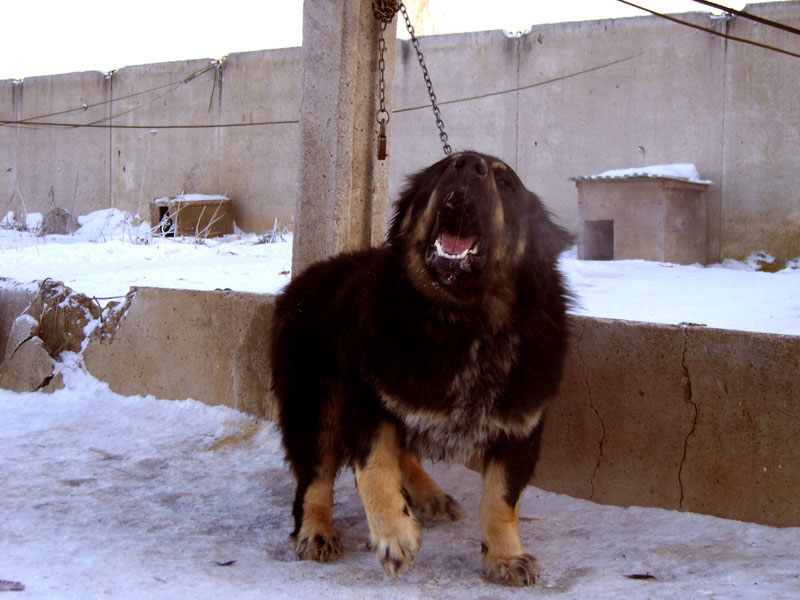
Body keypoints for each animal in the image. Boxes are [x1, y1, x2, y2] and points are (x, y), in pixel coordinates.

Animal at [272, 151, 572, 584]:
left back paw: (429, 496)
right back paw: (316, 530)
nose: (470, 164)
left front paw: (505, 556)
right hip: (315, 404)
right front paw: (394, 536)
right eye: (444, 167)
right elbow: (374, 470)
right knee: (314, 477)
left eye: (506, 183)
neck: (463, 323)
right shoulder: (366, 399)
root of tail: (306, 276)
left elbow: (501, 500)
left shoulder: (520, 426)